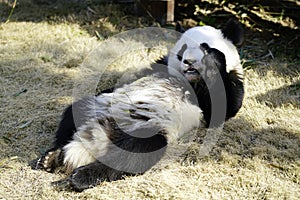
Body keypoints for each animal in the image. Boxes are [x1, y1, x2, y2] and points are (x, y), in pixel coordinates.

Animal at [34, 18, 244, 191]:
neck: (189, 81)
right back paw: (52, 157)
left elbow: (224, 105)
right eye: (181, 50)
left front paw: (213, 59)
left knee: (135, 153)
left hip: (152, 128)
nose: (189, 62)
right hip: (95, 106)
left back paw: (81, 176)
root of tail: (97, 138)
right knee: (72, 115)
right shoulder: (158, 66)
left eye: (204, 46)